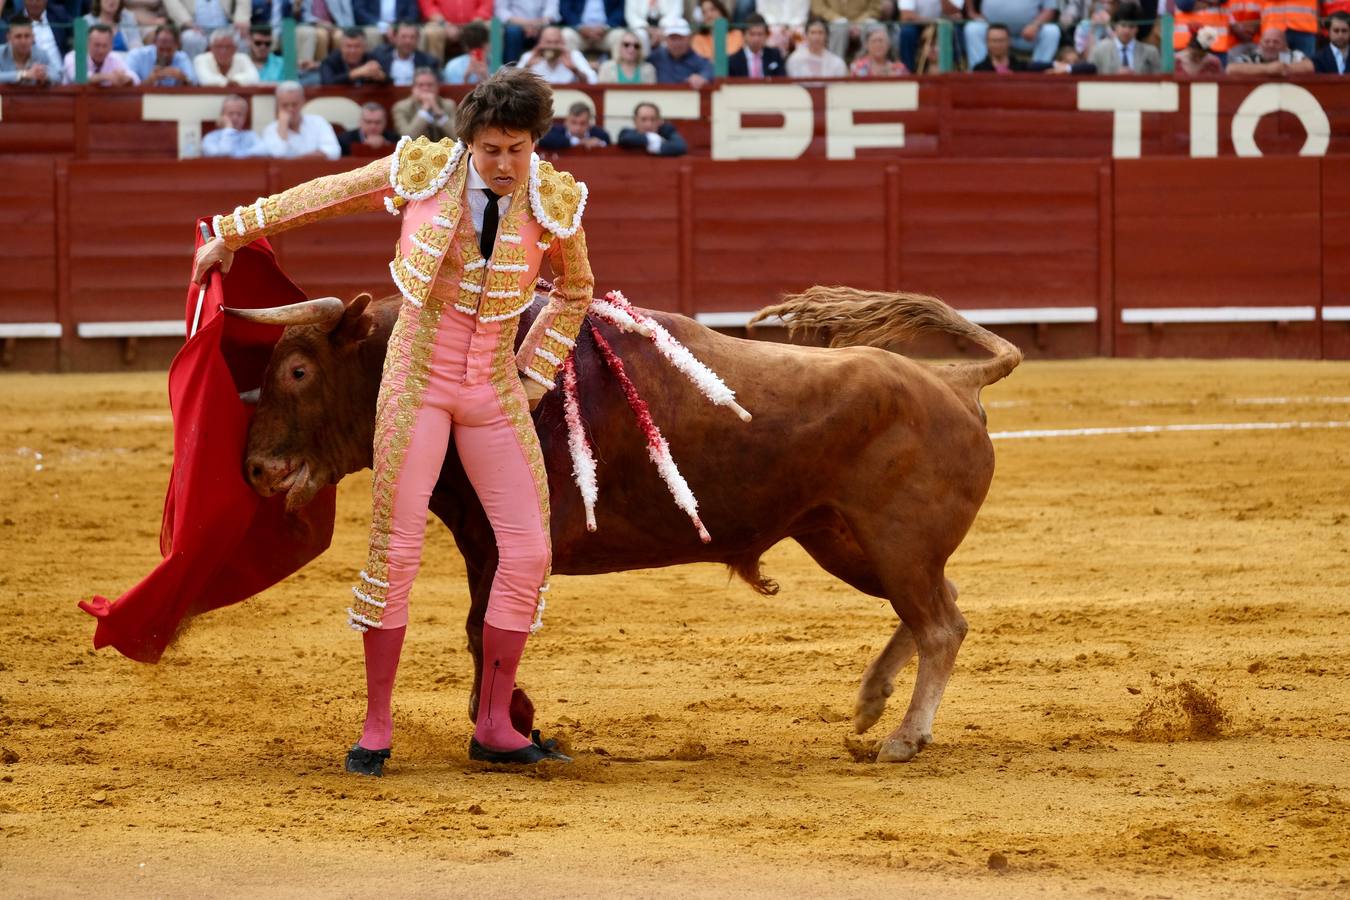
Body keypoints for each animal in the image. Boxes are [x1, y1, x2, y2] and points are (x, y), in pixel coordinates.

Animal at [232, 287, 1015, 761]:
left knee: (941, 625)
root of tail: (955, 381)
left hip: (893, 540)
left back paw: (904, 737)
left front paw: (507, 728)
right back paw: (871, 705)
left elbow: (485, 630)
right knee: (934, 611)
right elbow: (481, 629)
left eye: (298, 371)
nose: (258, 470)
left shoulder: (507, 544)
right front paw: (511, 723)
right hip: (844, 539)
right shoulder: (482, 545)